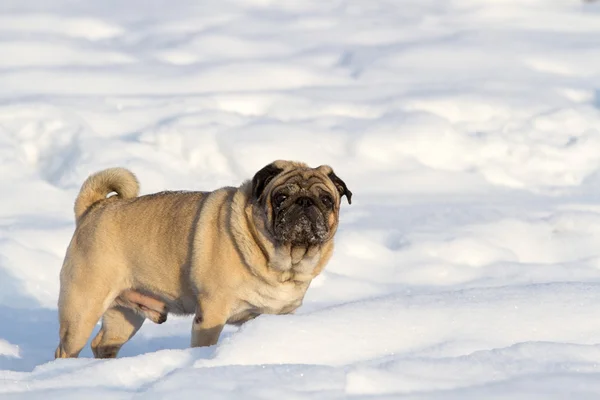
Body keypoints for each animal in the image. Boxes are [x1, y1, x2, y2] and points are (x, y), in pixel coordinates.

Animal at [55, 159, 352, 360]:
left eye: (326, 200)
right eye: (281, 197)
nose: (304, 202)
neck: (284, 262)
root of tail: (95, 207)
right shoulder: (212, 313)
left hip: (124, 315)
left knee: (103, 344)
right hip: (83, 308)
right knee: (66, 348)